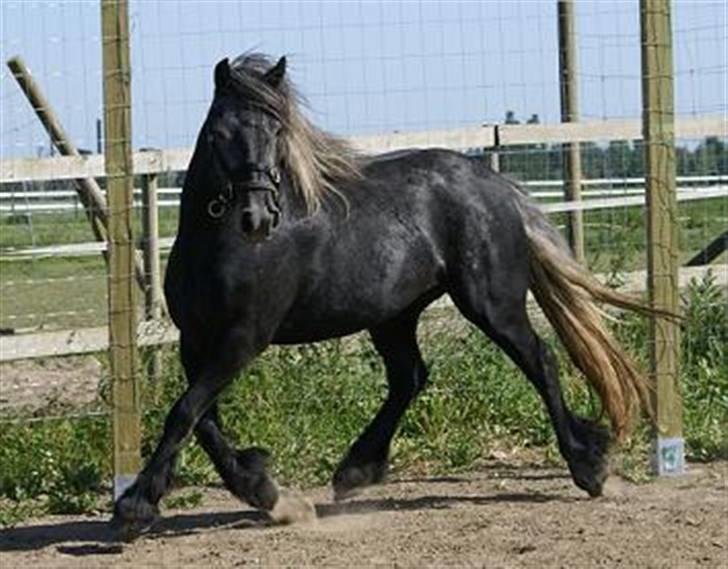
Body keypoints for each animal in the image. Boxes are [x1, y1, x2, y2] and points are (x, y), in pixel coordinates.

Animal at [112, 53, 658, 537]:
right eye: (220, 131)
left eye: (276, 131)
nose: (258, 218)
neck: (219, 248)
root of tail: (494, 184)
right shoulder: (196, 343)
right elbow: (201, 421)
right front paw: (263, 489)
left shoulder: (243, 339)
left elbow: (185, 413)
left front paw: (136, 507)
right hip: (393, 315)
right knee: (410, 377)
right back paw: (355, 470)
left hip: (490, 303)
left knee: (539, 360)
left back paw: (588, 467)